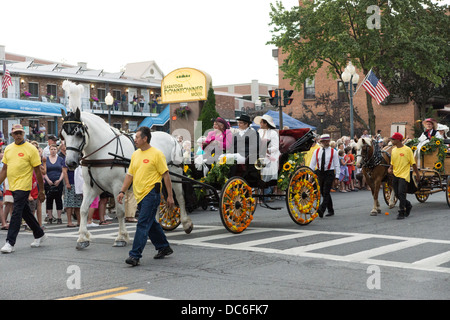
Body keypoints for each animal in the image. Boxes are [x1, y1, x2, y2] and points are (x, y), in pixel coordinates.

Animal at [60, 83, 192, 250]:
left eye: (78, 134)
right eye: (63, 136)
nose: (70, 163)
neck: (101, 152)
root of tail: (172, 138)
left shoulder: (118, 186)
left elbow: (120, 212)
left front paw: (121, 237)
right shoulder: (91, 187)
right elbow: (83, 210)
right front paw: (82, 238)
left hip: (174, 174)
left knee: (180, 197)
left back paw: (186, 223)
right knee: (157, 202)